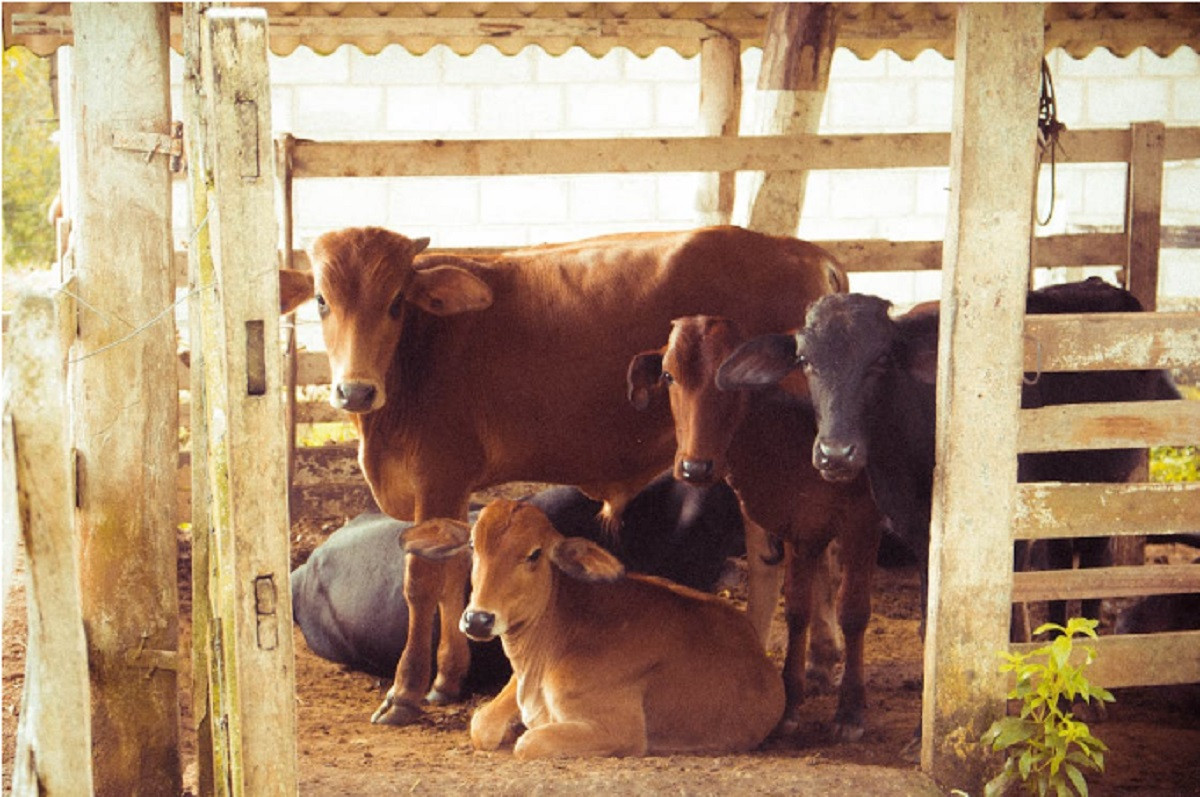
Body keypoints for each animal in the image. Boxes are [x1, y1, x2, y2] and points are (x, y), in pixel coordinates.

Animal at [398, 499, 782, 758]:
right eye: (473, 546)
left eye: (535, 554)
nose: (478, 619)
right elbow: (481, 725)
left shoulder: (620, 729)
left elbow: (529, 742)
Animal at [628, 314, 883, 739]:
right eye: (667, 375)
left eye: (731, 379)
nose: (695, 467)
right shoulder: (800, 526)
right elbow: (797, 610)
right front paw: (790, 702)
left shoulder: (862, 520)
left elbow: (853, 611)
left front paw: (849, 710)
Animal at [720, 279, 1180, 633]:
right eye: (805, 360)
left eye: (881, 359)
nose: (836, 453)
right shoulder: (917, 532)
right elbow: (929, 623)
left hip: (1103, 484)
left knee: (1092, 562)